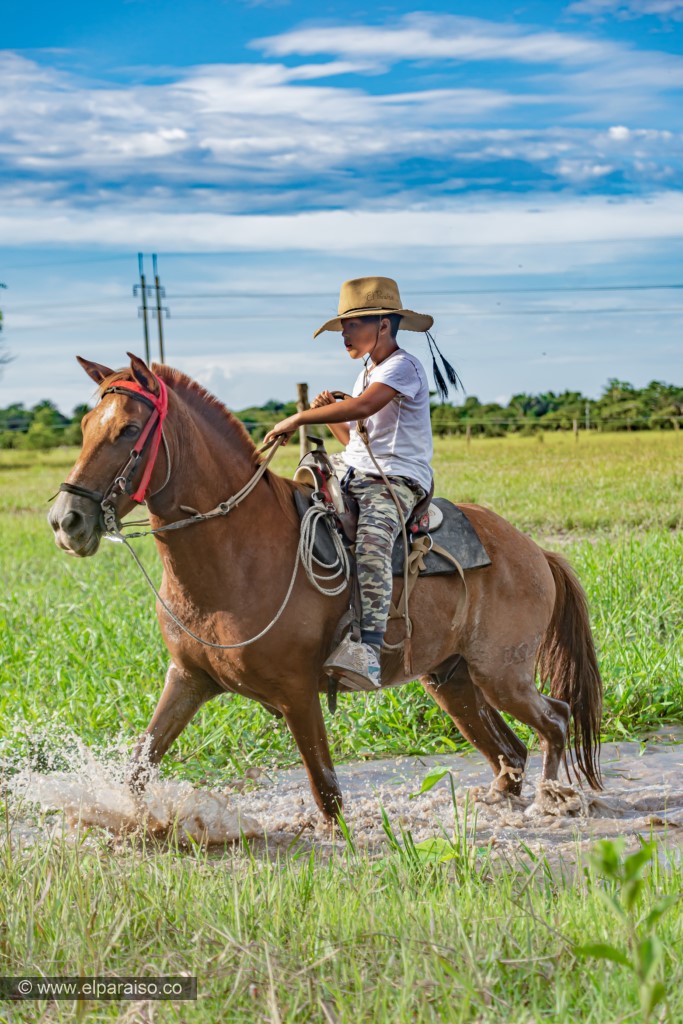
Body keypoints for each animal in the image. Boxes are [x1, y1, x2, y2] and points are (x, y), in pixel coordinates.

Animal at [48, 354, 603, 820]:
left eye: (129, 429)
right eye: (86, 427)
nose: (65, 520)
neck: (239, 551)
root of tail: (535, 552)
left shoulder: (296, 692)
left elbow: (327, 792)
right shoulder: (188, 679)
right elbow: (139, 767)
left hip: (502, 674)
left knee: (555, 719)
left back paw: (553, 799)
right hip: (453, 679)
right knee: (511, 748)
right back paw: (504, 795)